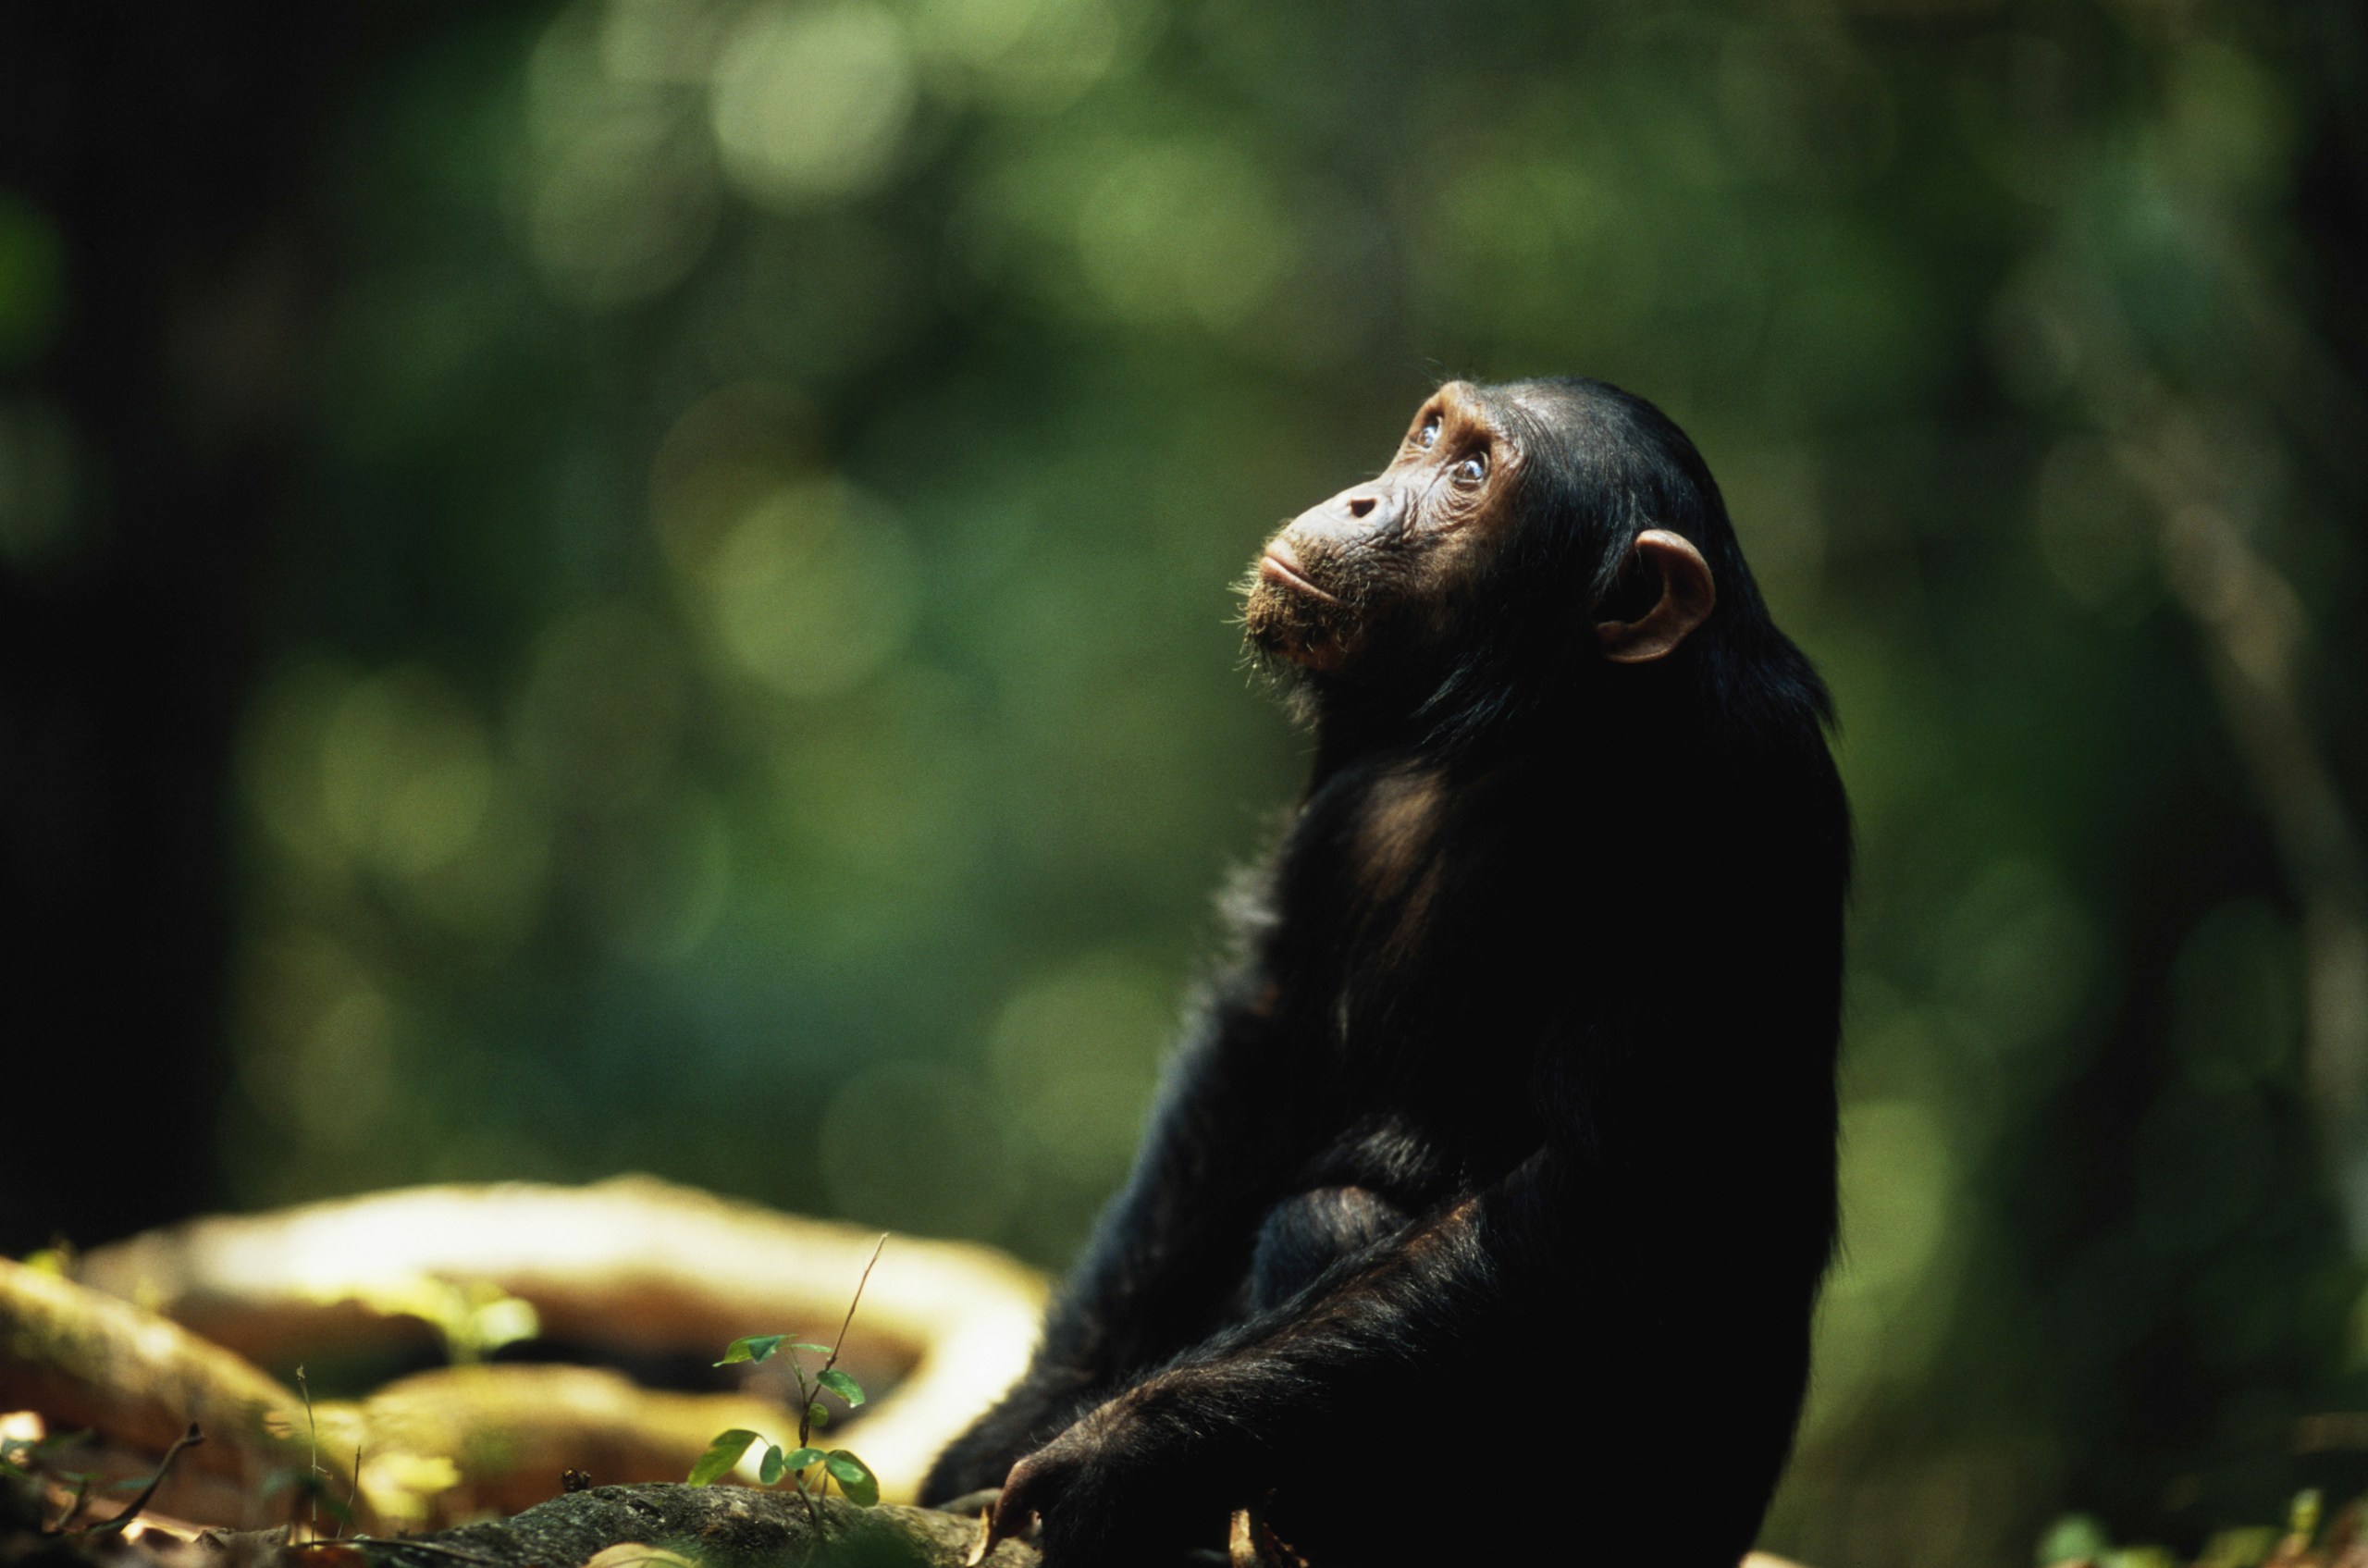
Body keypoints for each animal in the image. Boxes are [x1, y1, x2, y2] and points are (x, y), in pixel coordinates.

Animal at [923, 381, 1846, 1568]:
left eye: (1472, 477)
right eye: (1431, 433)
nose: (1367, 496)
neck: (1528, 722)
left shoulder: (1726, 794)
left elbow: (1584, 1191)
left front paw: (1123, 1449)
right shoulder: (1342, 784)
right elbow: (1265, 1038)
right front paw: (1021, 1425)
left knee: (1333, 1216)